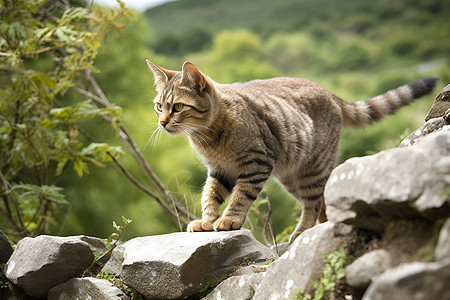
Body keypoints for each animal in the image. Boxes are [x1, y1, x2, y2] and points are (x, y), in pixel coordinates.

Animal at [146, 59, 438, 244]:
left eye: (178, 107)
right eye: (159, 106)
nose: (162, 122)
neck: (208, 137)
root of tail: (329, 92)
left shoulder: (256, 164)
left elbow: (240, 197)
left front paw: (230, 219)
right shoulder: (219, 171)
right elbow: (209, 197)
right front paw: (206, 220)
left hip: (312, 170)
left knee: (313, 203)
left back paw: (303, 233)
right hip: (292, 177)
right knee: (321, 201)